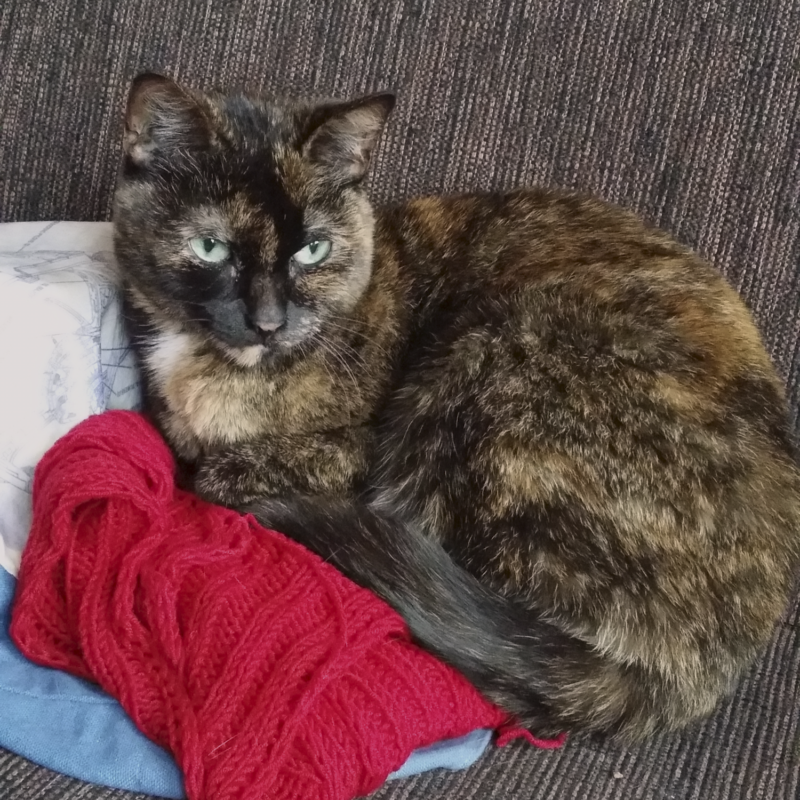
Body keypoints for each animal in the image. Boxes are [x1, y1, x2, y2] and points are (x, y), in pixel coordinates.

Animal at [114, 72, 800, 740]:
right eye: (211, 248)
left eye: (312, 250)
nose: (268, 321)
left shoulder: (352, 452)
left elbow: (223, 470)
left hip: (492, 350)